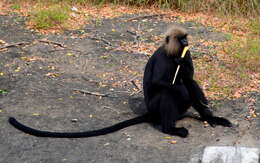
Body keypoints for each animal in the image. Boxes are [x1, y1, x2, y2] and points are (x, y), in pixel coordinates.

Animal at [7, 26, 232, 138]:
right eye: (181, 39)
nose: (186, 42)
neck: (174, 54)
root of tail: (151, 112)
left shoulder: (186, 54)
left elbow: (190, 78)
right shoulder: (163, 57)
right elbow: (160, 83)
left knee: (189, 87)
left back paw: (210, 118)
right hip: (157, 107)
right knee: (169, 93)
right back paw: (171, 130)